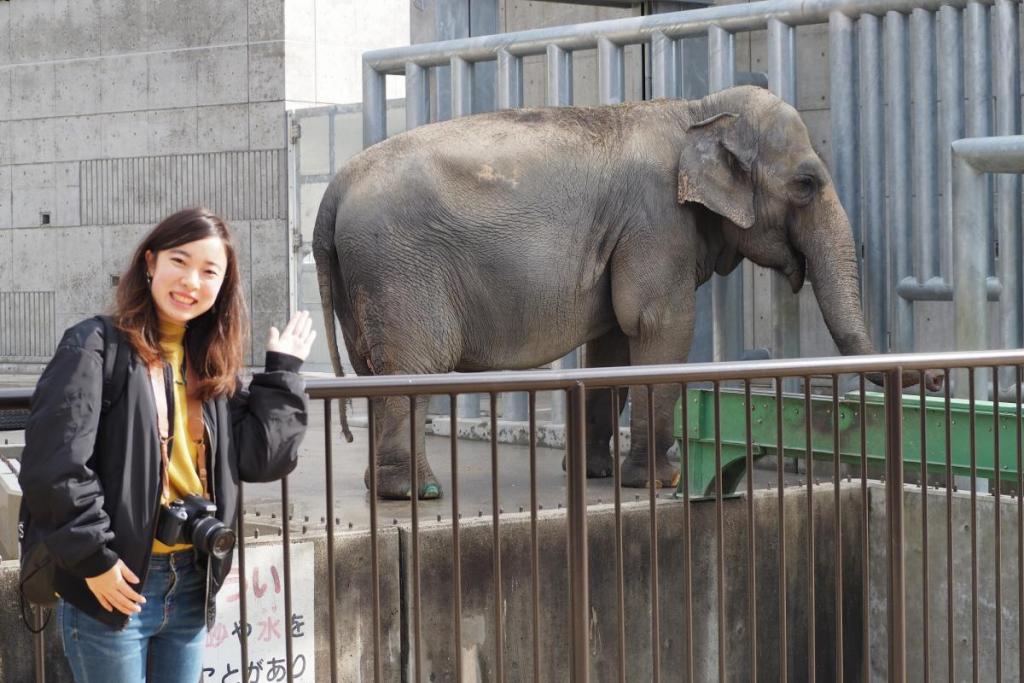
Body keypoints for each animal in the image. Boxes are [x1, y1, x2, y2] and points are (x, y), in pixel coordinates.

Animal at [311, 87, 937, 501]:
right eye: (806, 184)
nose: (934, 378)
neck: (696, 112)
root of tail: (333, 190)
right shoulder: (656, 221)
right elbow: (659, 327)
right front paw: (660, 481)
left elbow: (612, 341)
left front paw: (592, 474)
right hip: (400, 267)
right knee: (416, 366)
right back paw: (415, 493)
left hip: (363, 276)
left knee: (372, 367)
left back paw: (385, 484)